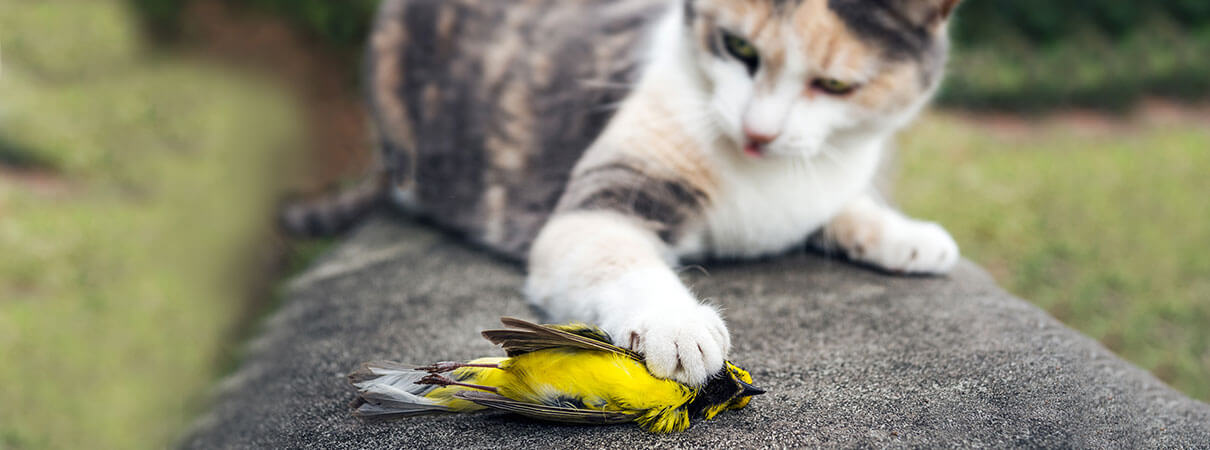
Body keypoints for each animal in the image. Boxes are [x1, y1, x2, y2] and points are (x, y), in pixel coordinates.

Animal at [283, 0, 963, 387]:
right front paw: (676, 323)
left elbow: (843, 205)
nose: (758, 133)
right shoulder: (603, 200)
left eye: (836, 85)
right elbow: (615, 254)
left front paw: (909, 236)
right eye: (738, 47)